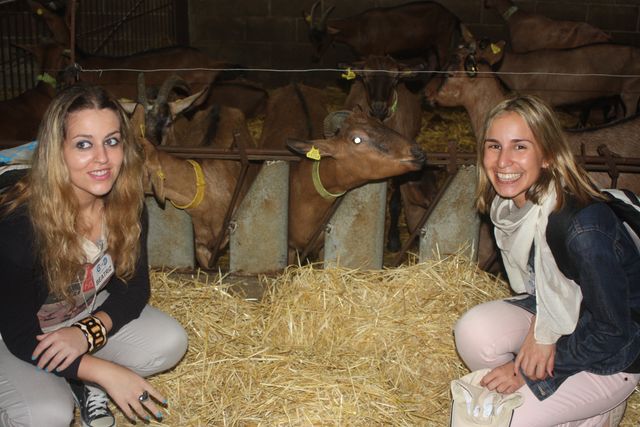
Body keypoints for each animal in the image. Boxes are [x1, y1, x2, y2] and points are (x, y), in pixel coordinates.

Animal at [258, 82, 428, 260]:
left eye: (380, 124)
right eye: (357, 139)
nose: (417, 152)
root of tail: (294, 84)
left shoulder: (322, 246)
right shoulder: (290, 249)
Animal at [304, 0, 460, 67]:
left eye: (322, 38)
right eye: (311, 38)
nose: (314, 58)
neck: (359, 27)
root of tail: (452, 15)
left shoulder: (378, 52)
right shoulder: (363, 56)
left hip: (443, 41)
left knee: (444, 64)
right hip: (428, 46)